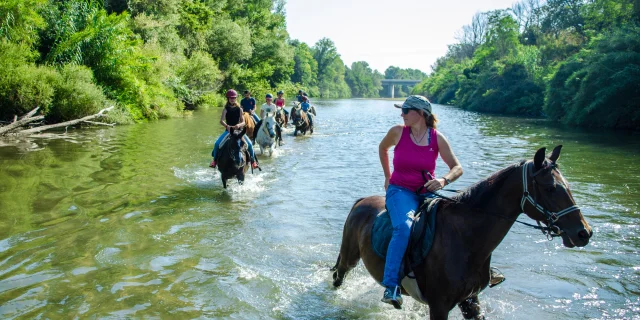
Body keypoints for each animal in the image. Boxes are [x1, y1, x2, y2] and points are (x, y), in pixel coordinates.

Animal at [332, 146, 592, 320]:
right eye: (550, 188)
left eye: (567, 185)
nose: (584, 232)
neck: (465, 239)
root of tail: (362, 201)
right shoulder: (439, 306)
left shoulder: (470, 300)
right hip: (349, 257)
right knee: (339, 277)